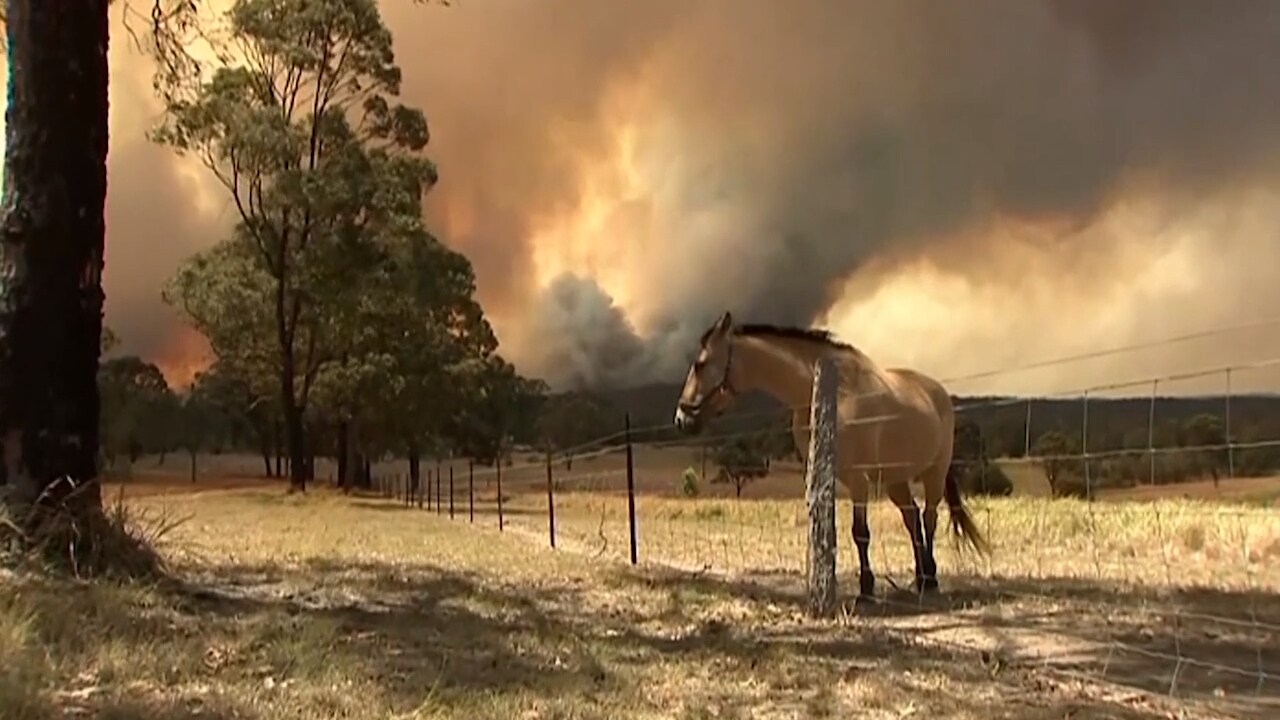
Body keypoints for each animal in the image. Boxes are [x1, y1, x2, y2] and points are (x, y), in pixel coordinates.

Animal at [670, 311, 988, 597]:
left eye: (700, 364)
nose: (681, 418)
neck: (835, 395)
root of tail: (938, 393)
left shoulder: (858, 480)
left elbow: (860, 533)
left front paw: (866, 588)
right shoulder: (824, 475)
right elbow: (826, 529)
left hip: (934, 474)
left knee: (929, 519)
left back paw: (930, 580)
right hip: (895, 480)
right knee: (912, 520)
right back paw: (921, 578)